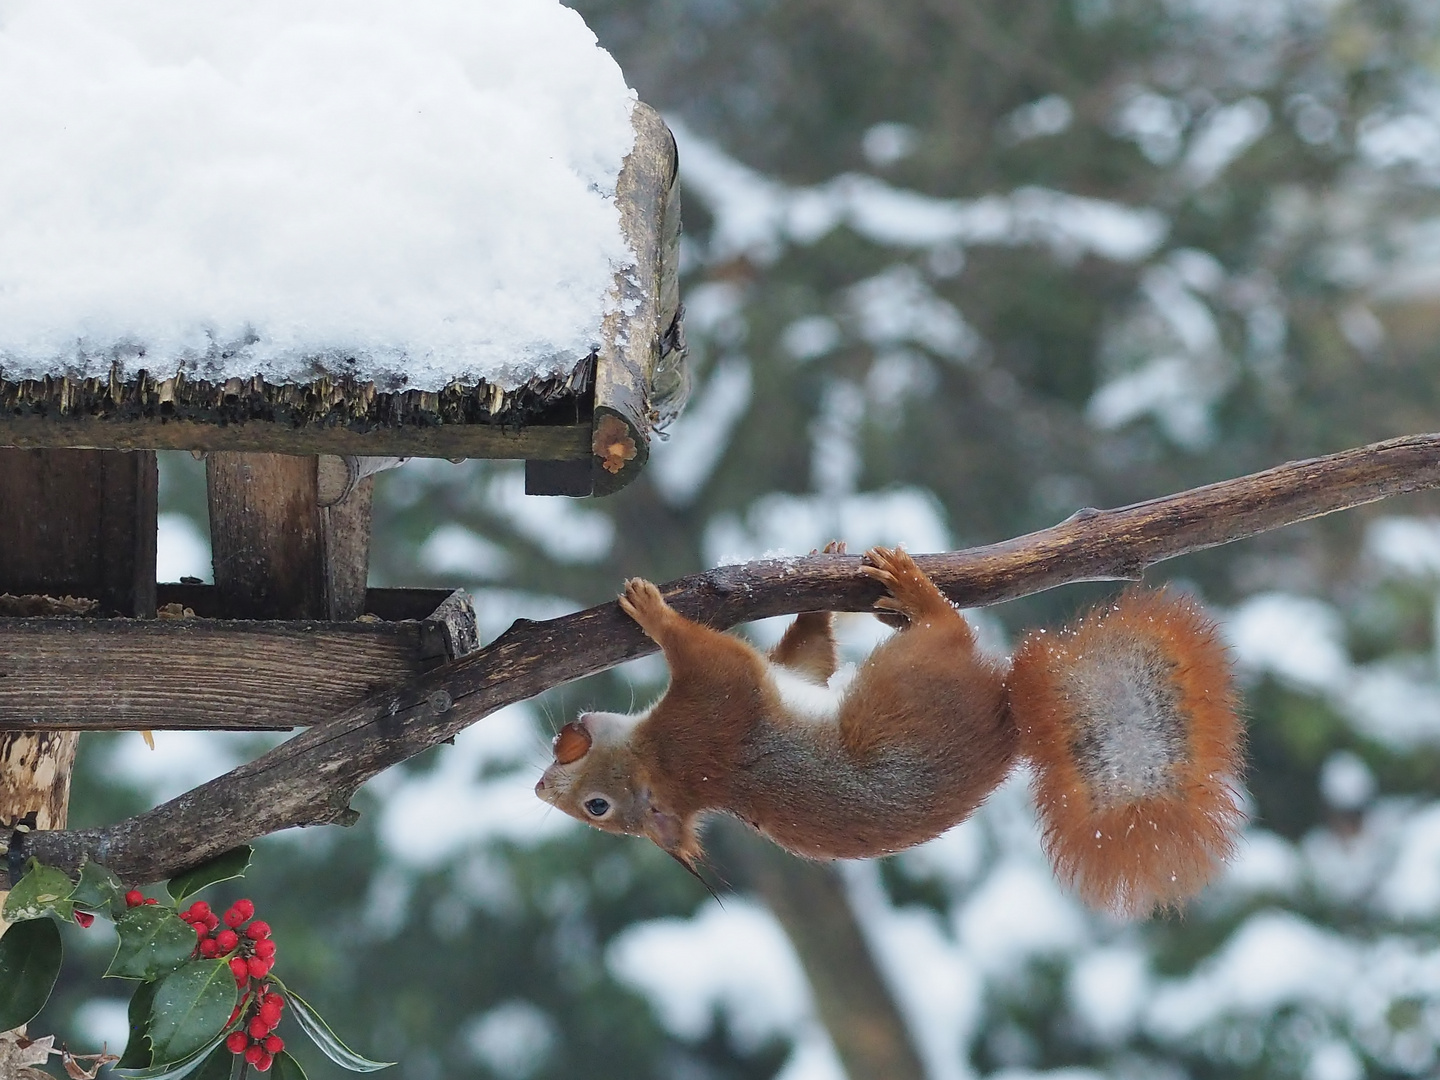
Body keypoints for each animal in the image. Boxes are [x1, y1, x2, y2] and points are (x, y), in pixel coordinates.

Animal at [535, 550, 1244, 915]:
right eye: (598, 809)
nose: (541, 787)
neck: (660, 764)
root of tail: (1008, 711)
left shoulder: (732, 701)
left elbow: (805, 659)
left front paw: (816, 578)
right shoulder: (710, 713)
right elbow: (709, 655)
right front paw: (656, 613)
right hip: (904, 679)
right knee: (948, 629)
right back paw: (919, 593)